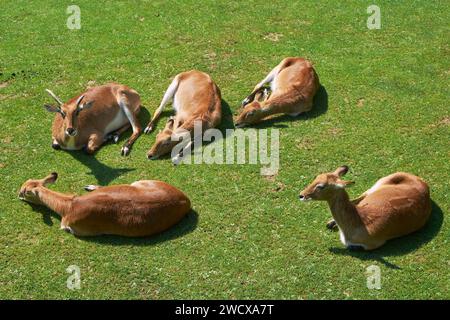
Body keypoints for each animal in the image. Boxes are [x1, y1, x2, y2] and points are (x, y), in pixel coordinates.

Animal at [18, 172, 191, 238]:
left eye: (23, 192)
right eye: (28, 181)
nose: (18, 195)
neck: (70, 205)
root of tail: (186, 200)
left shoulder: (78, 230)